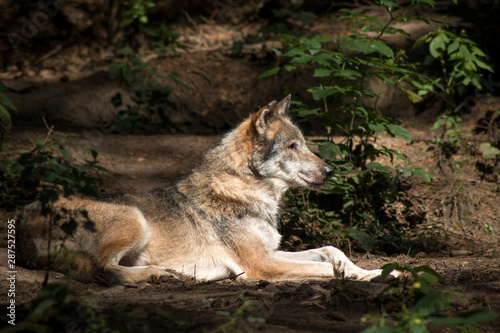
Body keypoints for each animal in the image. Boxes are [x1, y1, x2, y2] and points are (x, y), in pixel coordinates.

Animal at [17, 94, 386, 284]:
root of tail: (23, 218)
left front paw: (375, 271)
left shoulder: (267, 252)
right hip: (134, 218)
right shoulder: (259, 265)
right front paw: (365, 277)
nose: (330, 170)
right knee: (102, 269)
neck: (247, 190)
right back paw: (161, 275)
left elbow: (332, 251)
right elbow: (325, 268)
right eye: (293, 147)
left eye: (305, 145)